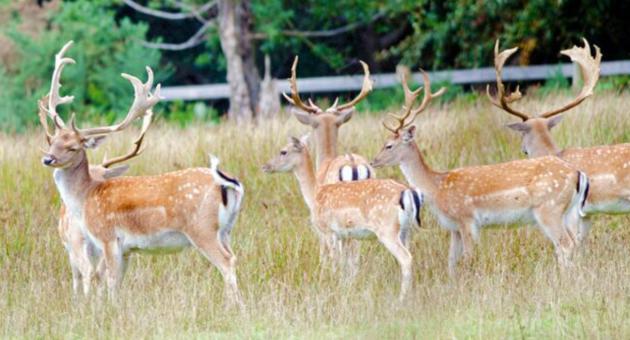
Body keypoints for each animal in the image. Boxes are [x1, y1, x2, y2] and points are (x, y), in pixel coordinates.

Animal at [40, 41, 246, 306]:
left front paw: (109, 309)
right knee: (233, 256)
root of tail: (229, 183)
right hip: (226, 230)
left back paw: (233, 307)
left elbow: (108, 281)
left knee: (226, 261)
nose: (48, 159)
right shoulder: (127, 249)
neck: (85, 198)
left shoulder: (108, 237)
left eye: (73, 147)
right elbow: (116, 282)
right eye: (53, 141)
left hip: (202, 228)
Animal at [262, 135, 424, 300]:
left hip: (387, 230)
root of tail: (408, 192)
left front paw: (332, 283)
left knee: (405, 258)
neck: (315, 194)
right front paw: (346, 284)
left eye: (283, 151)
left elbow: (334, 260)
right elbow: (344, 261)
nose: (265, 166)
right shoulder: (344, 235)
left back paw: (401, 298)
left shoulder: (328, 231)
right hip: (406, 230)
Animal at [370, 71, 592, 274]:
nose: (373, 161)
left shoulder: (466, 219)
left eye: (389, 145)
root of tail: (577, 174)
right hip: (568, 211)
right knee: (573, 243)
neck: (437, 187)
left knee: (565, 244)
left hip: (549, 208)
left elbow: (468, 258)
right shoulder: (453, 227)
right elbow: (451, 262)